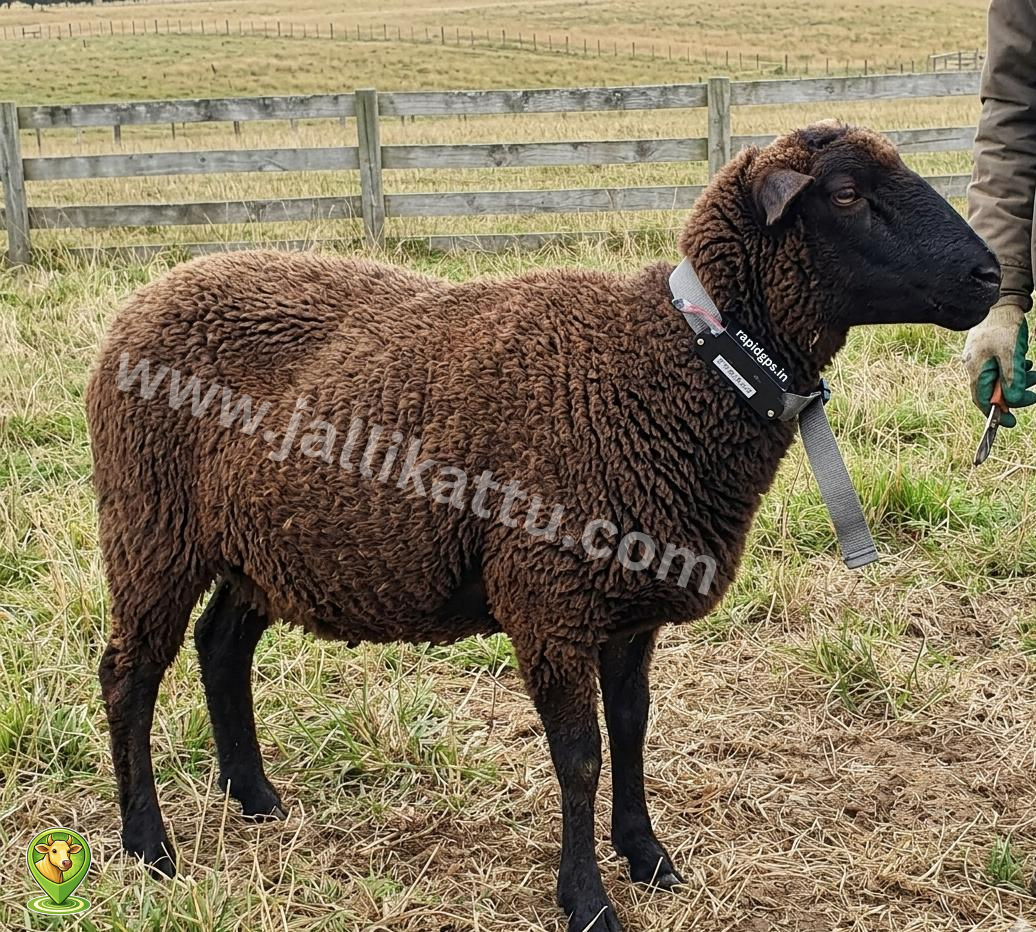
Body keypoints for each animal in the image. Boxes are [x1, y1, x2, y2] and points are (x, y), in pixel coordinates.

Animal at [87, 123, 998, 932]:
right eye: (844, 193)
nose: (990, 275)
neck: (674, 365)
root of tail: (145, 298)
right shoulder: (550, 601)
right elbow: (580, 757)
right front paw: (588, 901)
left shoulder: (628, 607)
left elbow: (632, 731)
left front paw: (650, 859)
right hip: (149, 527)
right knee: (129, 674)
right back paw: (149, 846)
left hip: (260, 545)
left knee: (220, 646)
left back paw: (254, 797)